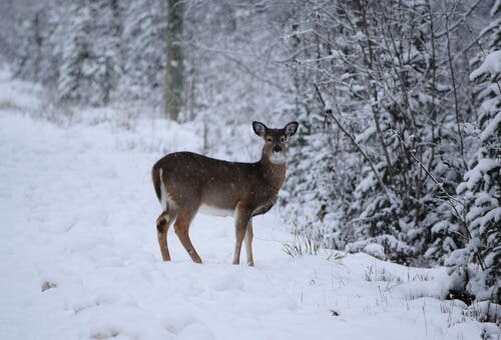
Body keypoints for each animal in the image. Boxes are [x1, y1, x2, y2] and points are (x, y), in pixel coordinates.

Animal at [148, 121, 296, 266]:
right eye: (268, 139)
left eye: (283, 139)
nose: (277, 149)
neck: (264, 178)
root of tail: (157, 166)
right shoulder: (245, 203)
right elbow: (240, 235)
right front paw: (235, 263)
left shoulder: (250, 212)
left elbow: (249, 237)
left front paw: (251, 265)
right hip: (188, 197)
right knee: (180, 226)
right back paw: (198, 260)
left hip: (172, 201)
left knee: (161, 222)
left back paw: (167, 260)